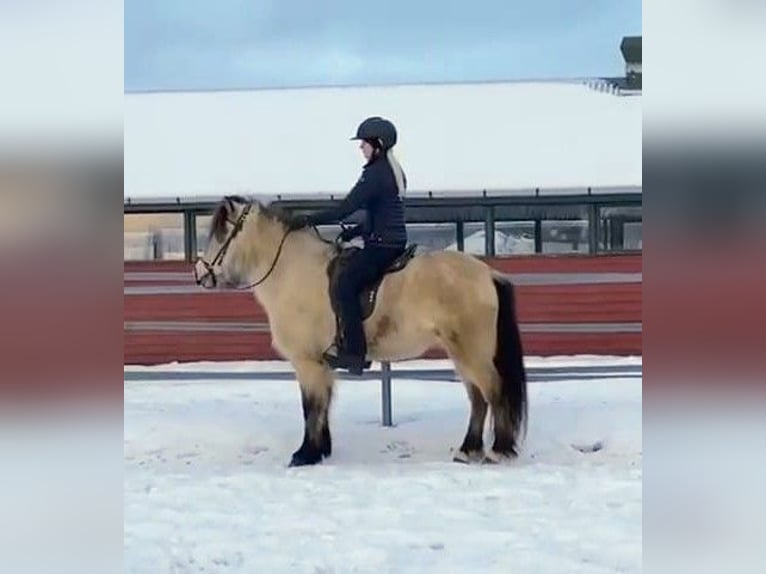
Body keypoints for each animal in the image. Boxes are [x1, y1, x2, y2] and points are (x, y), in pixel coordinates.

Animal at [193, 195, 528, 467]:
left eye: (222, 232)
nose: (199, 273)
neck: (294, 273)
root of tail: (487, 273)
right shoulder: (321, 364)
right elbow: (323, 405)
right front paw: (321, 450)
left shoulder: (307, 361)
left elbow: (311, 406)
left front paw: (305, 454)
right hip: (462, 352)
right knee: (478, 397)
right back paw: (468, 450)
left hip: (472, 351)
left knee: (493, 391)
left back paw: (498, 450)